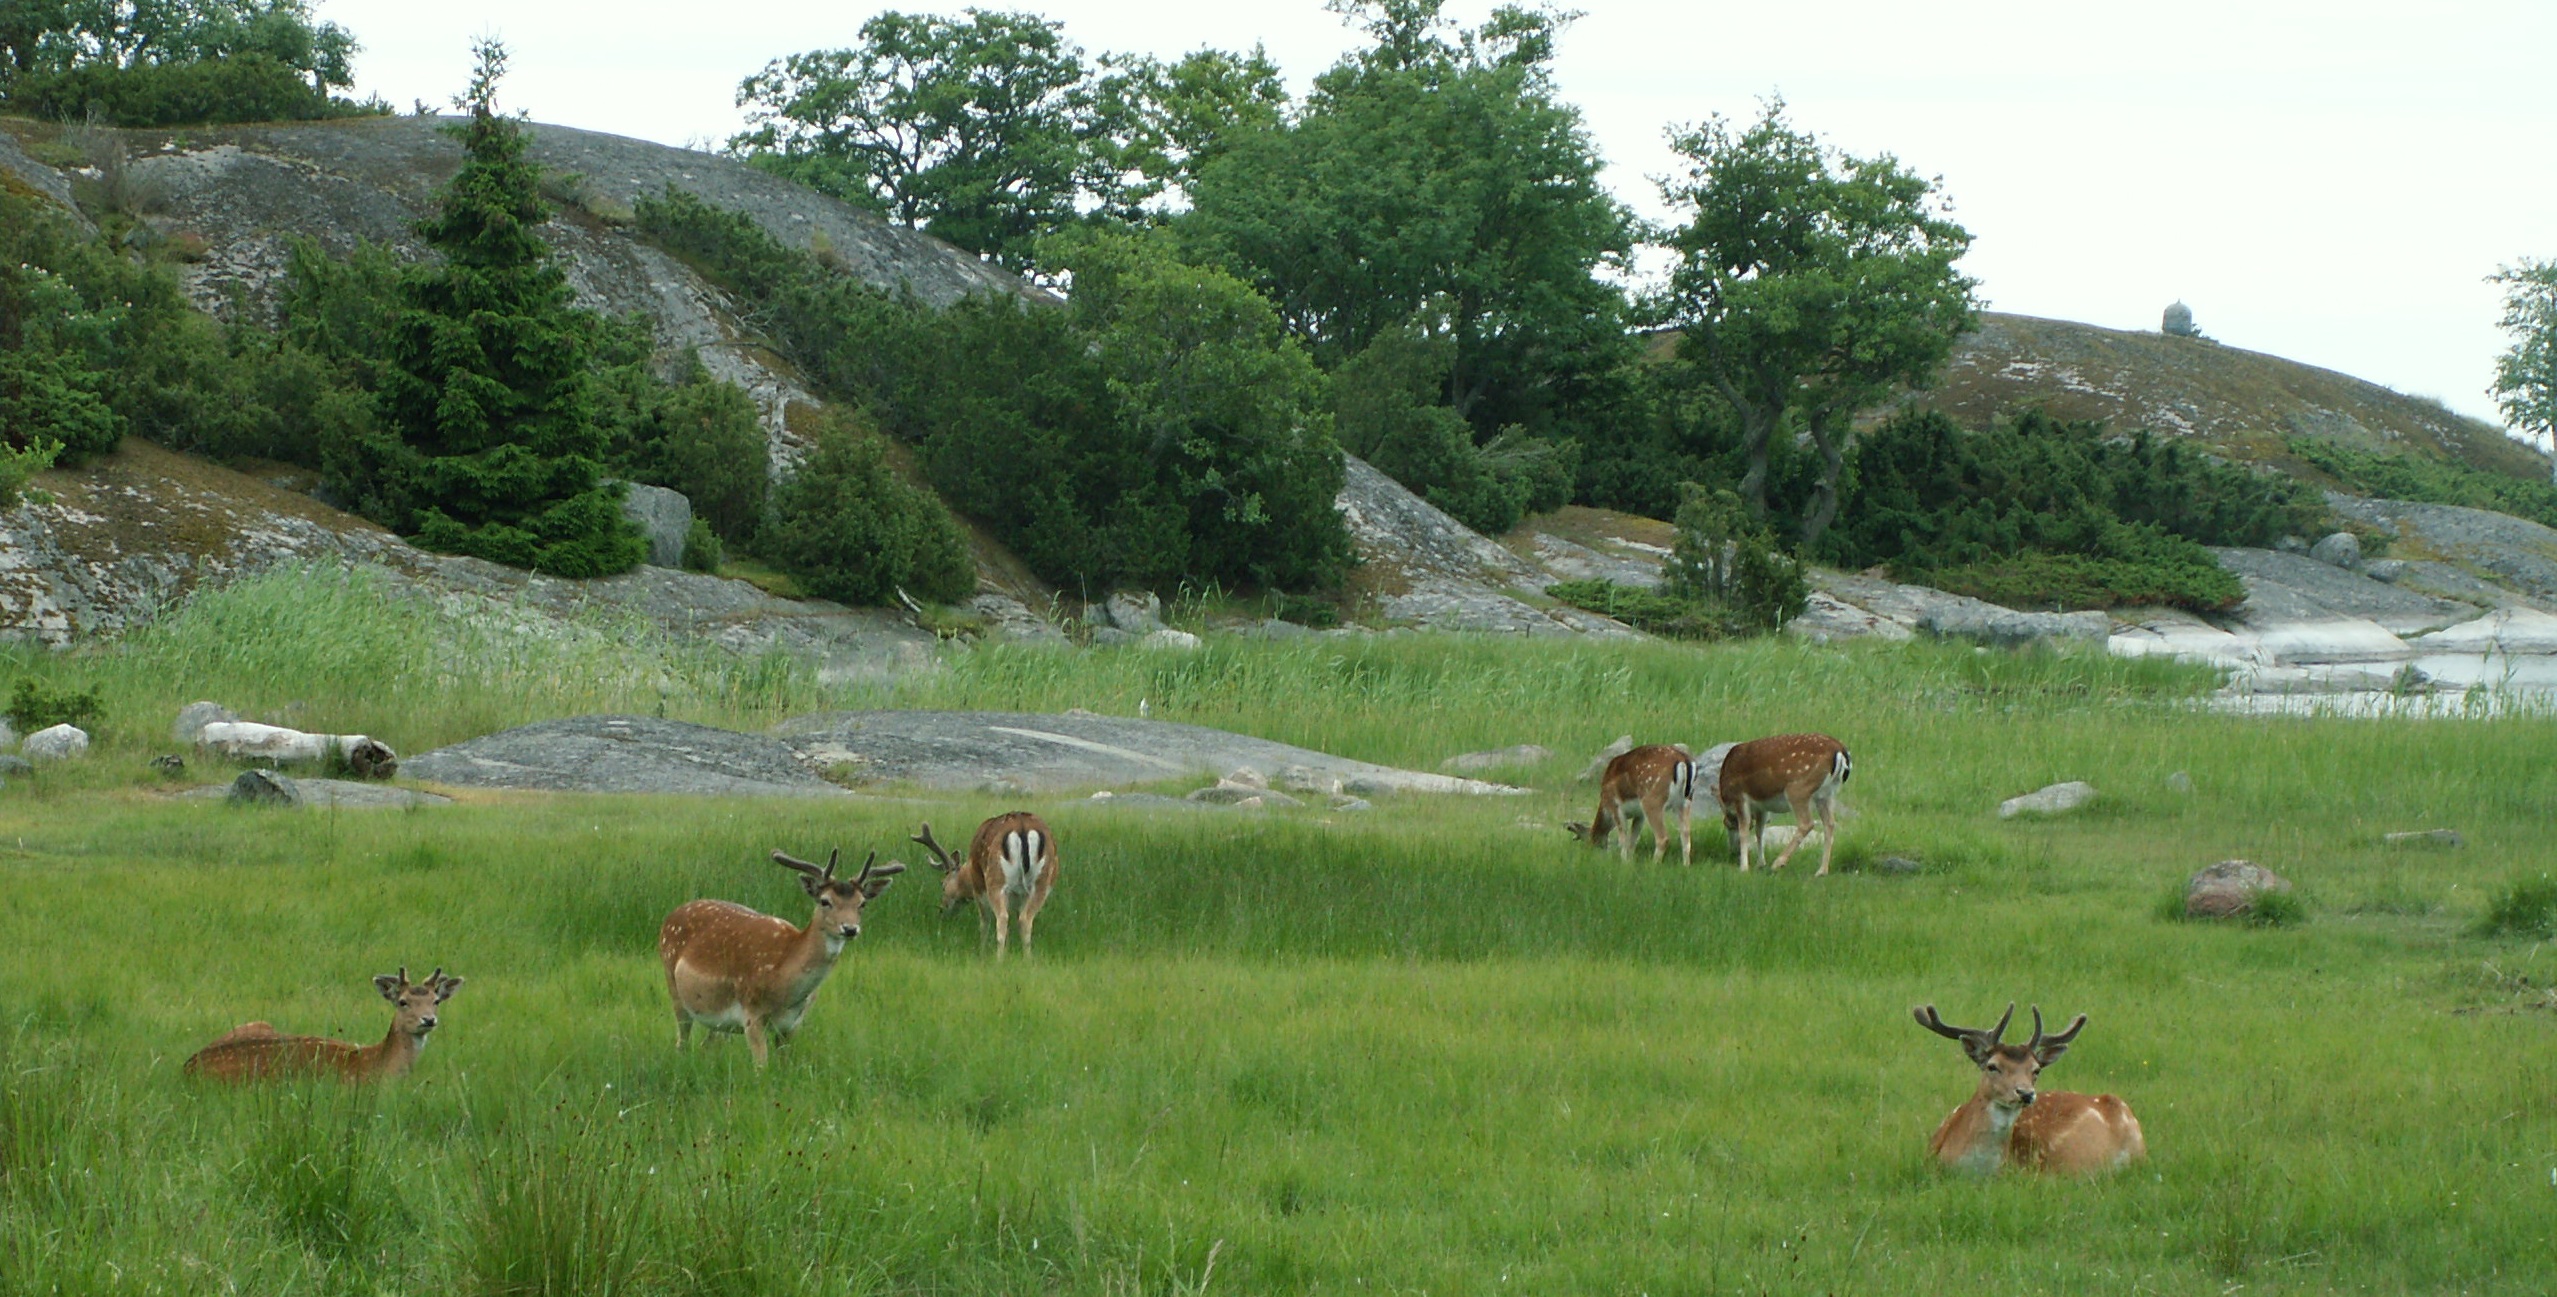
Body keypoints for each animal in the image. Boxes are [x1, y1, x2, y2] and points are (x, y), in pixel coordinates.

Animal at [657, 847, 904, 1067]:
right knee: (682, 1042)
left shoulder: (792, 1023)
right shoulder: (751, 1013)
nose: (850, 928)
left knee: (706, 1045)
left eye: (862, 903)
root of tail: (669, 917)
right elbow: (762, 1067)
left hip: (715, 1017)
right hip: (674, 987)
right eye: (825, 901)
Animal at [904, 814, 1058, 955]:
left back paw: (998, 960)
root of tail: (1022, 827)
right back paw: (1027, 959)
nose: (942, 909)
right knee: (1025, 919)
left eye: (943, 884)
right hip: (1041, 883)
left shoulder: (978, 888)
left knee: (1002, 917)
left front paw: (982, 951)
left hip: (995, 880)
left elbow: (984, 922)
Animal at [1565, 744, 1697, 864]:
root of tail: (1683, 761)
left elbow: (1623, 839)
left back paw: (1654, 865)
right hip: (1685, 801)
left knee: (1663, 837)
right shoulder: (1639, 814)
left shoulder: (1615, 805)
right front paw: (1630, 861)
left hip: (1652, 800)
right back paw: (1686, 866)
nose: (1590, 855)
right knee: (1686, 835)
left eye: (1591, 840)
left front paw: (1624, 862)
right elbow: (1633, 839)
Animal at [1716, 732, 1850, 874]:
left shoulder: (1740, 796)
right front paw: (1760, 864)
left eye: (1727, 824)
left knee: (1807, 823)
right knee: (1830, 823)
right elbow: (1759, 830)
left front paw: (1744, 868)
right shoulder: (1761, 806)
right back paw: (1821, 871)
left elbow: (1744, 830)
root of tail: (1840, 750)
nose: (1733, 851)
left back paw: (1778, 863)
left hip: (1798, 788)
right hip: (1827, 793)